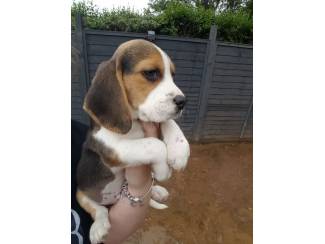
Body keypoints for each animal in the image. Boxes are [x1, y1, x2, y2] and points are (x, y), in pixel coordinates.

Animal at [76, 39, 189, 243]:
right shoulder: (113, 148)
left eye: (173, 75)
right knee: (99, 210)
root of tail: (113, 198)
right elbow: (155, 144)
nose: (183, 101)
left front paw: (179, 152)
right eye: (151, 73)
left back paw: (157, 191)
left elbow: (169, 122)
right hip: (81, 192)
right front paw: (163, 170)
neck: (136, 121)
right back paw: (99, 228)